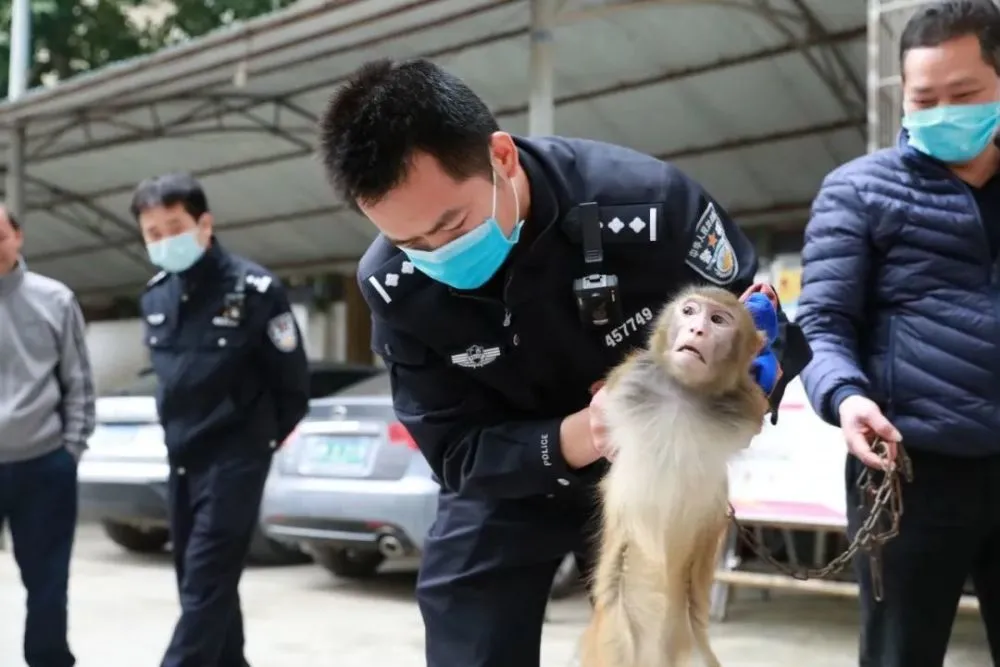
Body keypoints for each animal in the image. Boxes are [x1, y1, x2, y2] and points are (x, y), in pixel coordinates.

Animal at [580, 286, 772, 667]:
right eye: (689, 311)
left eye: (718, 320)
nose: (696, 330)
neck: (685, 393)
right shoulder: (628, 380)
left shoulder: (745, 406)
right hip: (616, 636)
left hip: (691, 643)